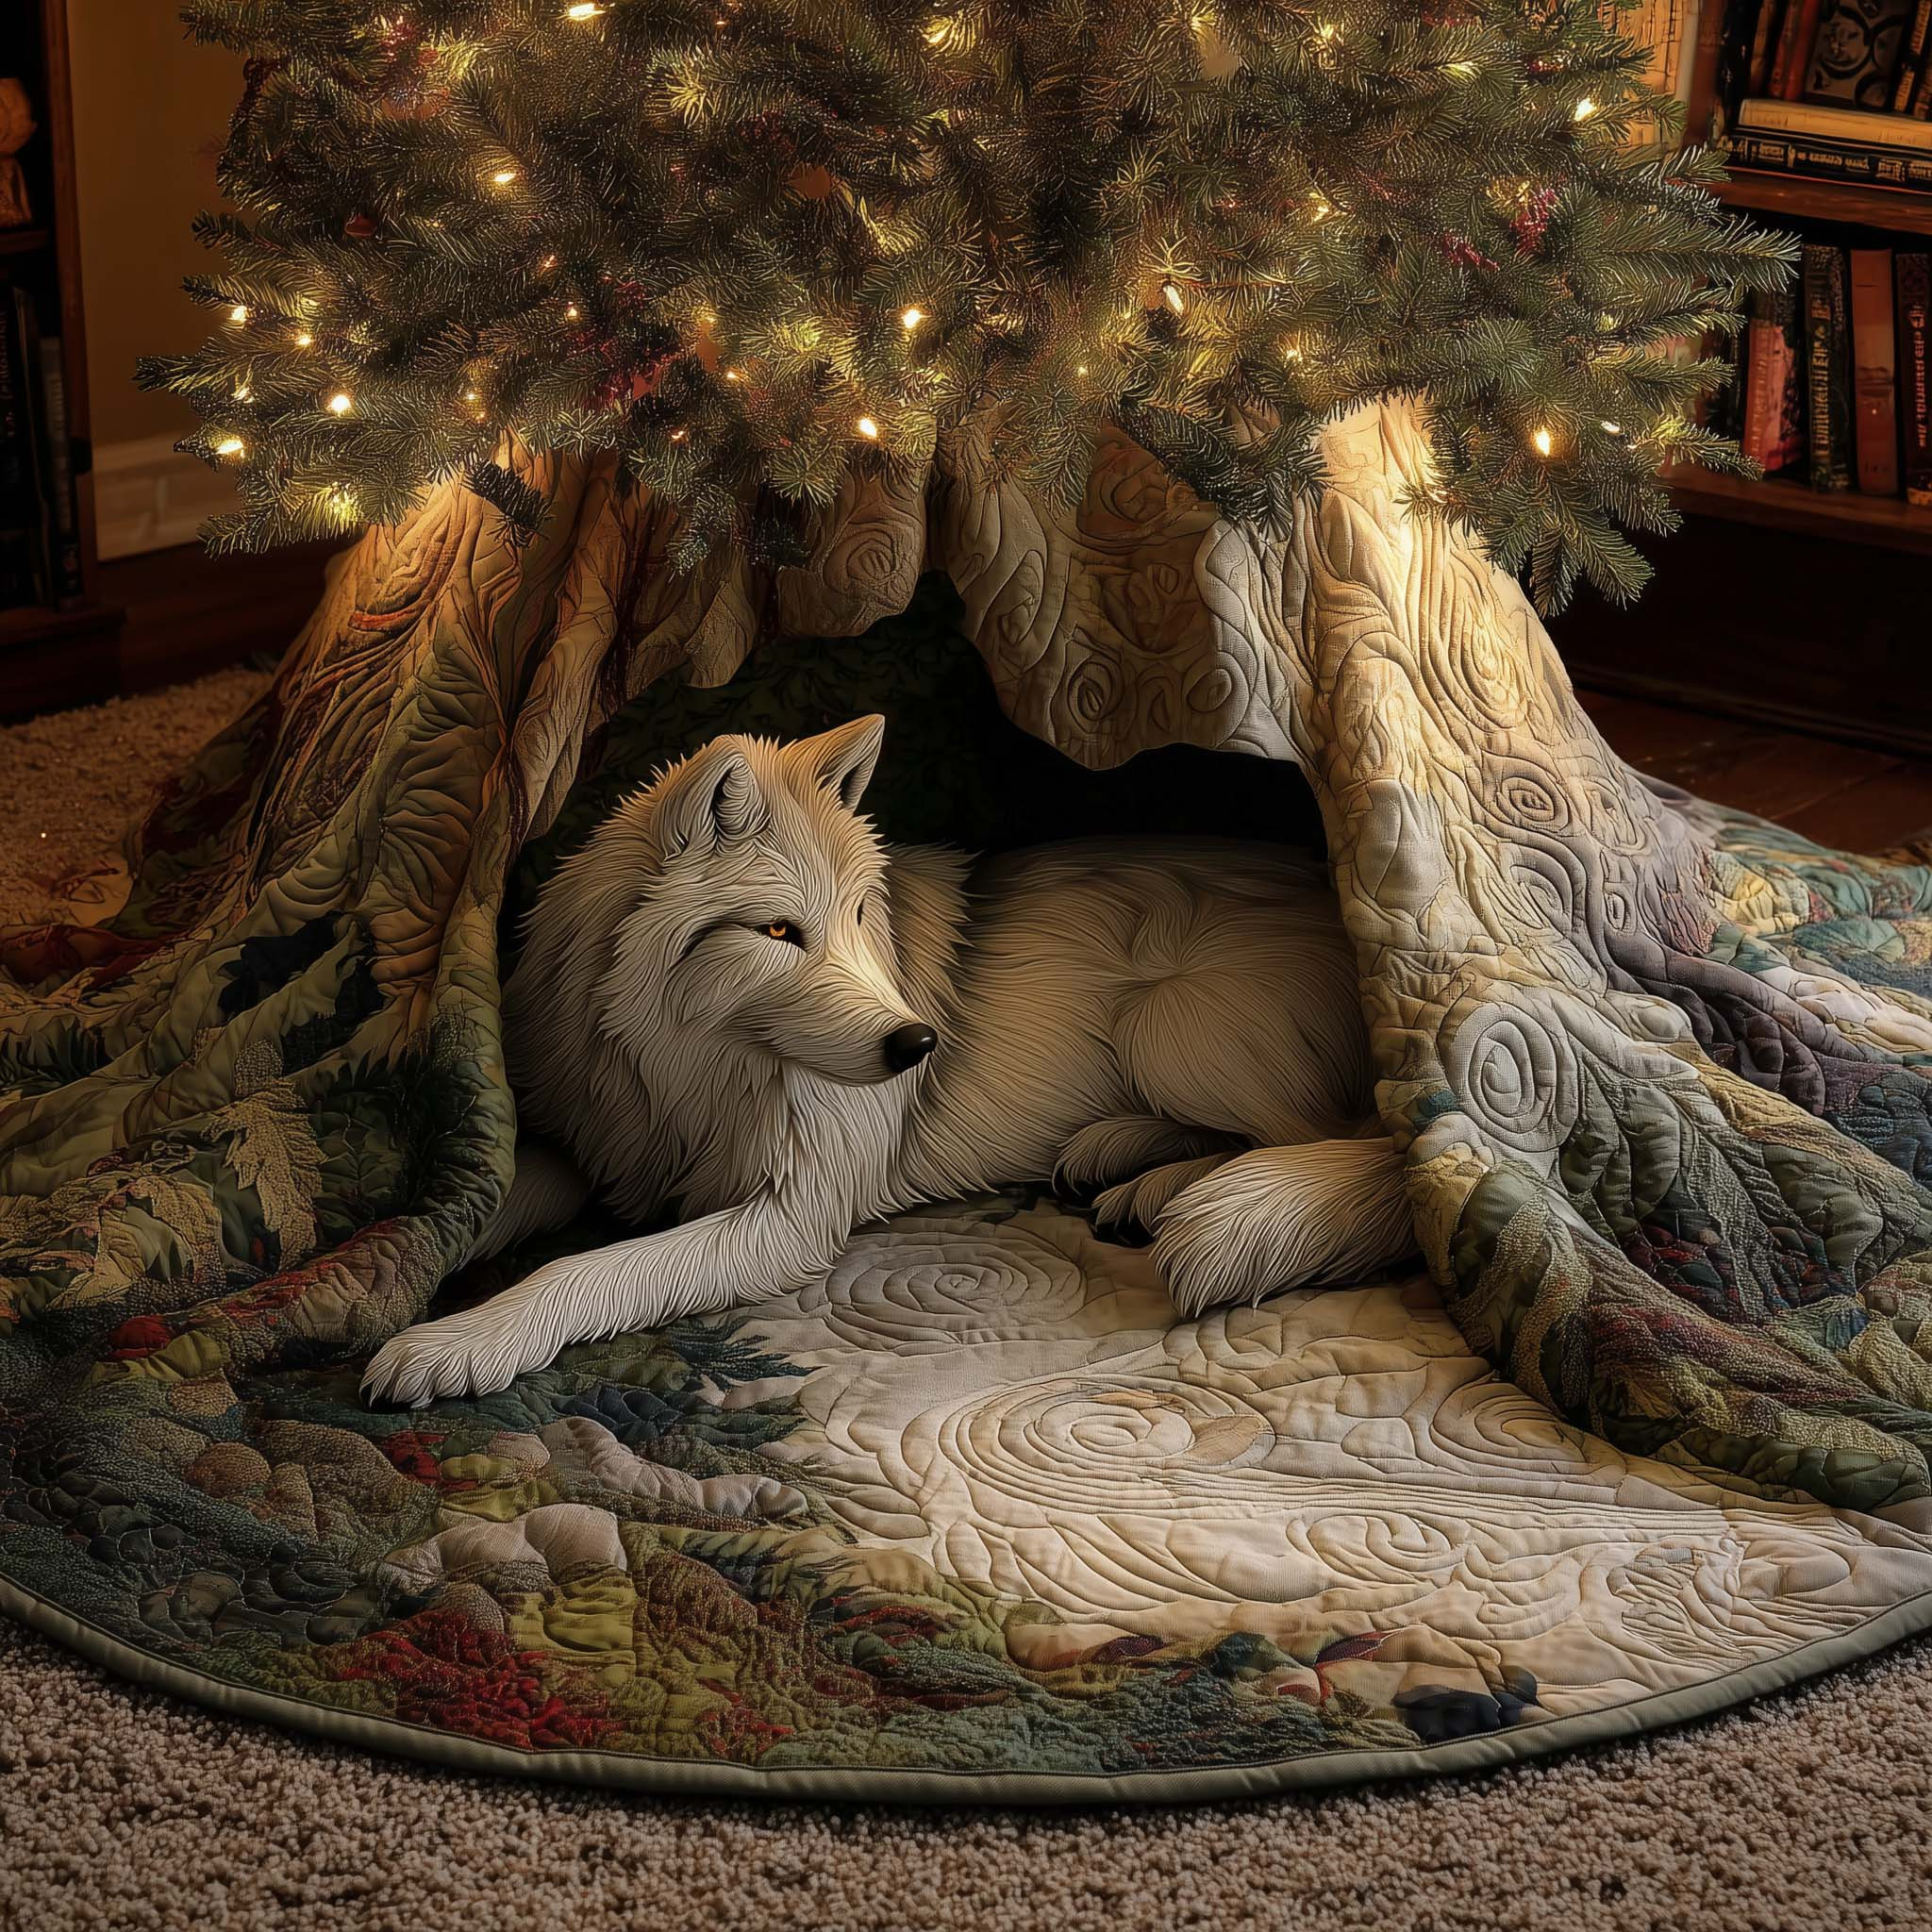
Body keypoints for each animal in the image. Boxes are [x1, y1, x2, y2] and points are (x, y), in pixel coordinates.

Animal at [361, 715, 1415, 1406]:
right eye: (778, 931)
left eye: (862, 916)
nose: (918, 1044)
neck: (687, 1076)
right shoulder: (590, 1150)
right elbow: (484, 1209)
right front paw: (386, 1277)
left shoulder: (787, 1218)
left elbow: (582, 1271)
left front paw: (459, 1341)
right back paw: (1119, 1158)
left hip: (1169, 1022)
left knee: (1346, 1139)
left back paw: (1160, 1188)